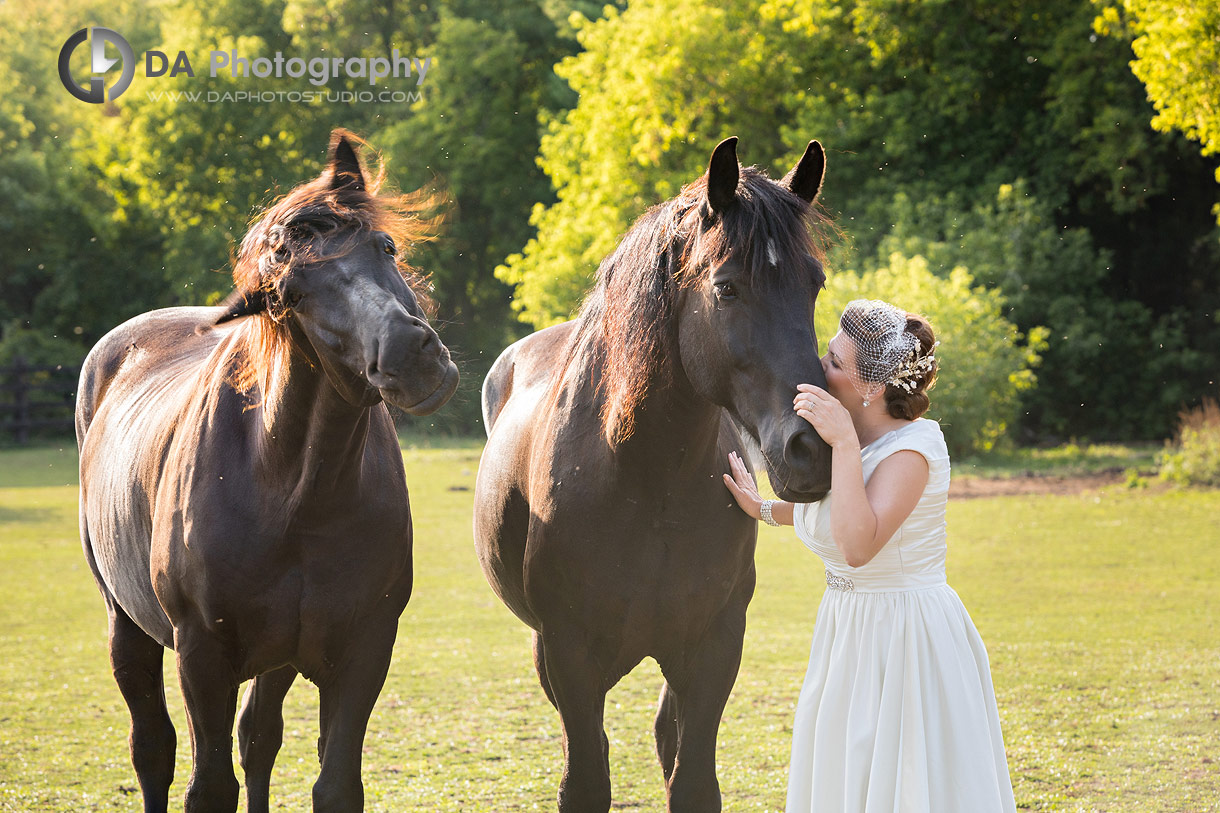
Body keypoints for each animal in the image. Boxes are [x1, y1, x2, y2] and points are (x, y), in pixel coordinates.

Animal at [76, 130, 458, 805]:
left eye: (385, 247)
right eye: (291, 294)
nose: (410, 357)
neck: (293, 491)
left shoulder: (364, 652)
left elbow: (332, 784)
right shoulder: (202, 657)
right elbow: (208, 786)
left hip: (277, 658)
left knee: (259, 741)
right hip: (129, 627)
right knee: (153, 749)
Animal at [470, 136, 834, 805]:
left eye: (813, 283)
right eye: (726, 289)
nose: (814, 448)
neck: (645, 480)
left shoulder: (716, 646)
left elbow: (692, 782)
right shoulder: (569, 654)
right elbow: (586, 779)